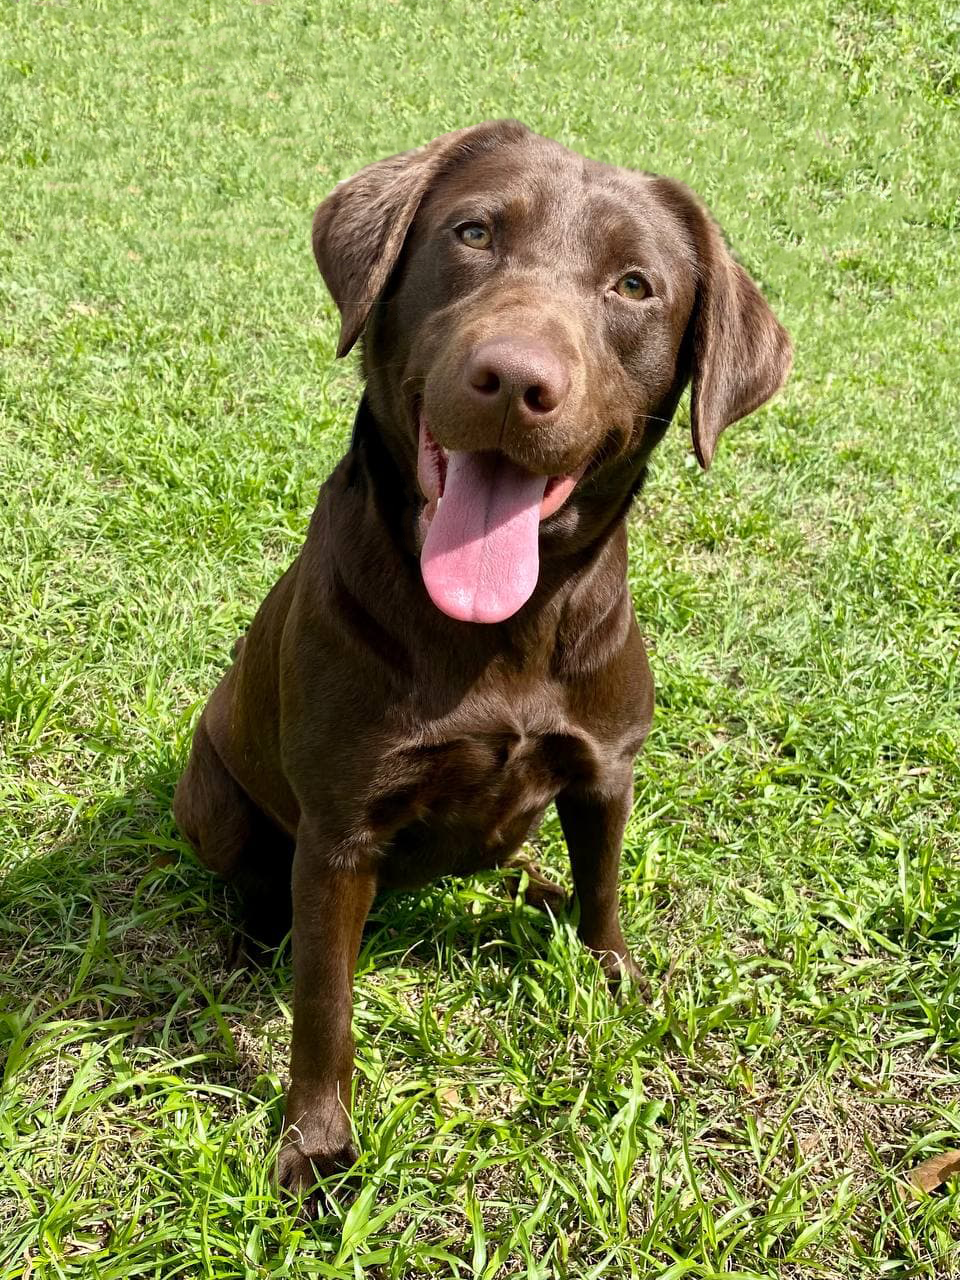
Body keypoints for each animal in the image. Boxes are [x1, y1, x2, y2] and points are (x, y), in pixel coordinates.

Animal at [172, 120, 788, 1198]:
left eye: (636, 285)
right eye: (473, 232)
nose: (514, 379)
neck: (506, 624)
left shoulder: (607, 768)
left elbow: (604, 883)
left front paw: (611, 968)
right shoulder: (337, 831)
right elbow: (324, 1003)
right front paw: (316, 1143)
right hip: (211, 798)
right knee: (251, 871)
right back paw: (256, 931)